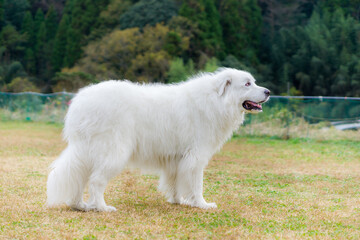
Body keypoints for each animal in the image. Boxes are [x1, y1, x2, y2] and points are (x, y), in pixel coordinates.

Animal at [45, 68, 270, 212]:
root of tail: (80, 103)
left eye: (254, 82)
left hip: (87, 153)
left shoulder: (177, 159)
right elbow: (196, 185)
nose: (268, 91)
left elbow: (175, 183)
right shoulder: (196, 158)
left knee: (79, 177)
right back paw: (101, 207)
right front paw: (202, 205)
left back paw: (79, 206)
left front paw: (178, 201)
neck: (216, 100)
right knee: (96, 181)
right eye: (247, 84)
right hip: (114, 153)